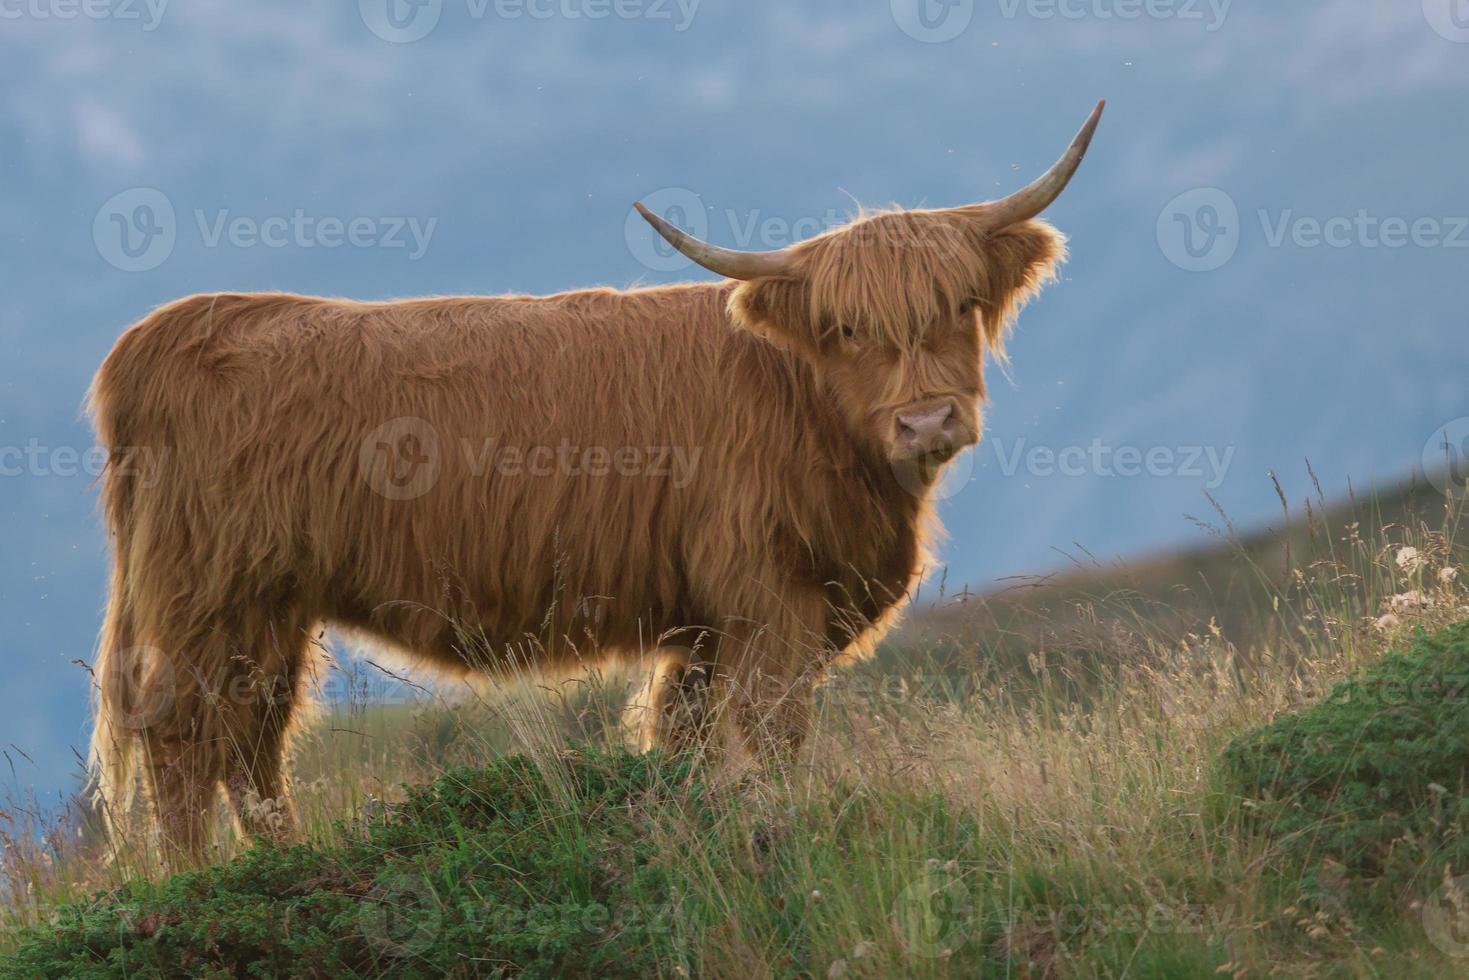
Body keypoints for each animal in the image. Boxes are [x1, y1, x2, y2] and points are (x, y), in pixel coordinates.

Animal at [85, 97, 1104, 852]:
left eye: (961, 304)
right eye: (846, 327)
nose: (927, 418)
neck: (801, 400)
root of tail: (171, 329)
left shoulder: (703, 624)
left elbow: (683, 736)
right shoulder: (770, 597)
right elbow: (774, 733)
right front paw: (781, 826)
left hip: (271, 607)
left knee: (253, 743)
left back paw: (282, 865)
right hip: (211, 591)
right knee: (184, 739)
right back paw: (197, 884)